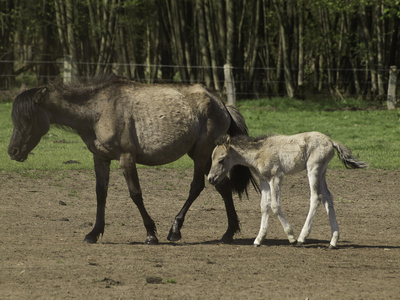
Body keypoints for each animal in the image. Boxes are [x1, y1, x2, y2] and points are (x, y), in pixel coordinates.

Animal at [7, 76, 258, 245]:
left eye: (27, 117)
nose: (12, 151)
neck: (98, 110)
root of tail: (221, 103)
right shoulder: (101, 158)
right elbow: (101, 194)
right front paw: (93, 233)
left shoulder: (126, 158)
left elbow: (135, 194)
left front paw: (150, 234)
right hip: (206, 157)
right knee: (223, 187)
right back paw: (228, 233)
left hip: (201, 154)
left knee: (197, 186)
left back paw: (175, 230)